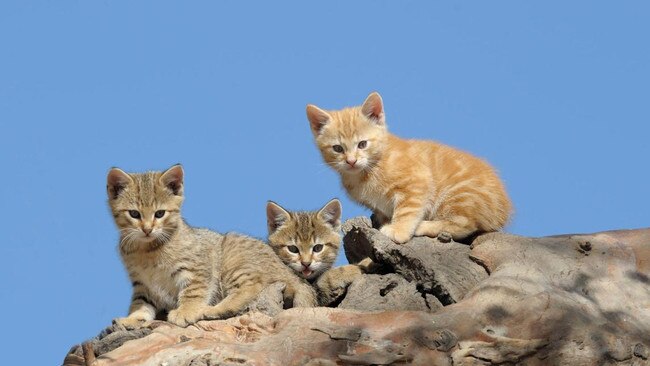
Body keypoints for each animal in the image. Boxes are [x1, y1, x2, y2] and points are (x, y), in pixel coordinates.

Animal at [107, 164, 316, 328]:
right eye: (134, 214)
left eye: (160, 213)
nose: (147, 229)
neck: (147, 249)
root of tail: (297, 278)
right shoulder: (142, 284)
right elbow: (140, 304)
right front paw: (133, 319)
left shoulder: (197, 268)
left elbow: (193, 292)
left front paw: (186, 311)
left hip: (234, 256)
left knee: (250, 286)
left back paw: (212, 309)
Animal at [304, 91, 512, 243]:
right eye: (338, 148)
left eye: (362, 144)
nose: (351, 161)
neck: (368, 170)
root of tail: (503, 209)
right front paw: (383, 221)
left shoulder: (417, 182)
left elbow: (407, 210)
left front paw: (398, 230)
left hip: (459, 194)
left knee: (466, 224)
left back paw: (423, 226)